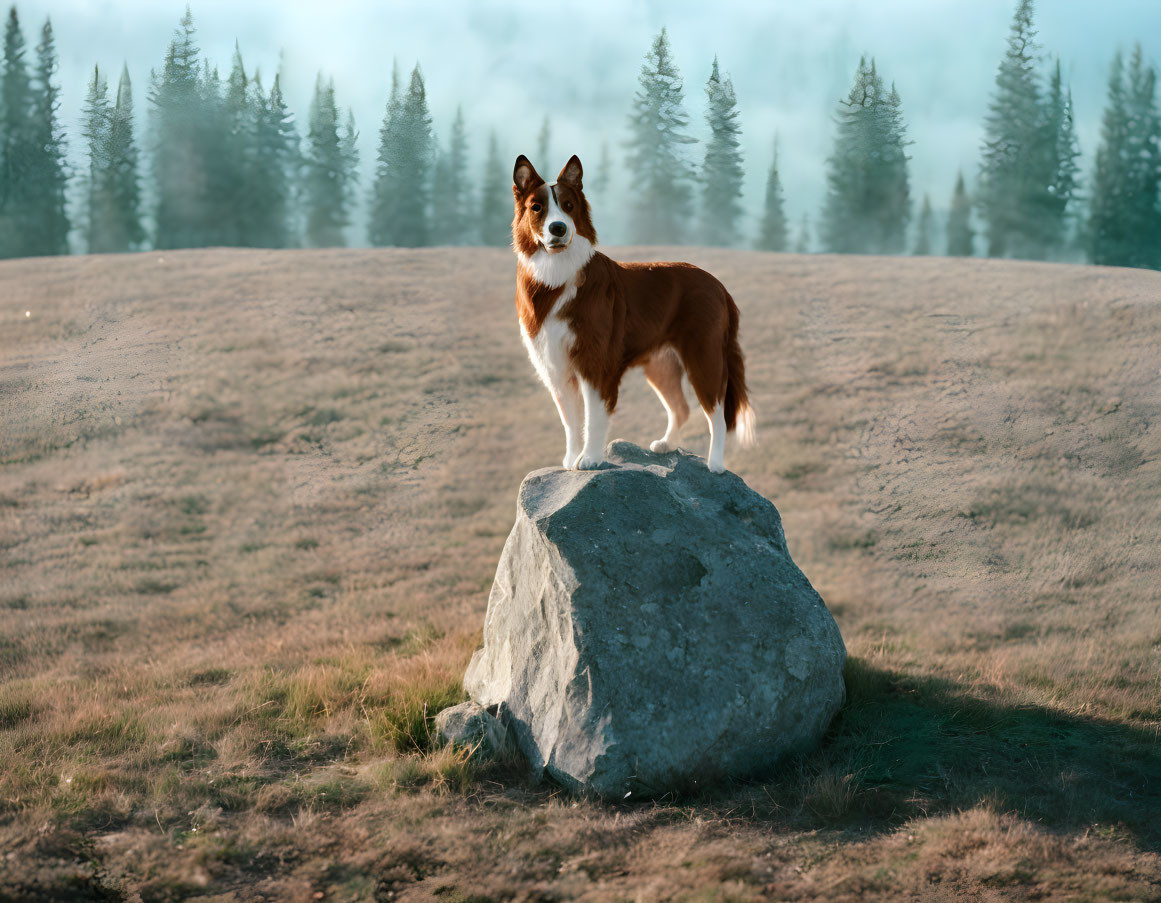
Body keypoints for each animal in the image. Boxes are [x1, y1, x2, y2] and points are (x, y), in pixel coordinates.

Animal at [513, 152, 756, 471]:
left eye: (568, 206)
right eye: (537, 207)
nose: (558, 228)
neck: (555, 273)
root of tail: (719, 286)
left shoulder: (597, 361)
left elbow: (594, 416)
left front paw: (590, 459)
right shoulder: (555, 365)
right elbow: (571, 420)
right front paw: (571, 459)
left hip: (705, 354)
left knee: (716, 412)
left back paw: (715, 464)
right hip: (662, 363)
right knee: (681, 407)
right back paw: (666, 445)